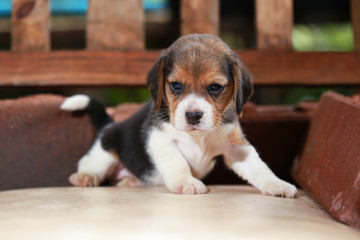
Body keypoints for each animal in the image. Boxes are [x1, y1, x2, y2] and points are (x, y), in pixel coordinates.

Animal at [62, 33, 296, 197]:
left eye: (215, 87)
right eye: (175, 85)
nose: (193, 115)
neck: (198, 135)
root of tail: (109, 126)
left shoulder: (237, 147)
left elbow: (259, 167)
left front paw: (278, 184)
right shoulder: (159, 139)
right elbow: (178, 162)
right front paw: (187, 182)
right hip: (105, 151)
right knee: (90, 163)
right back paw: (85, 177)